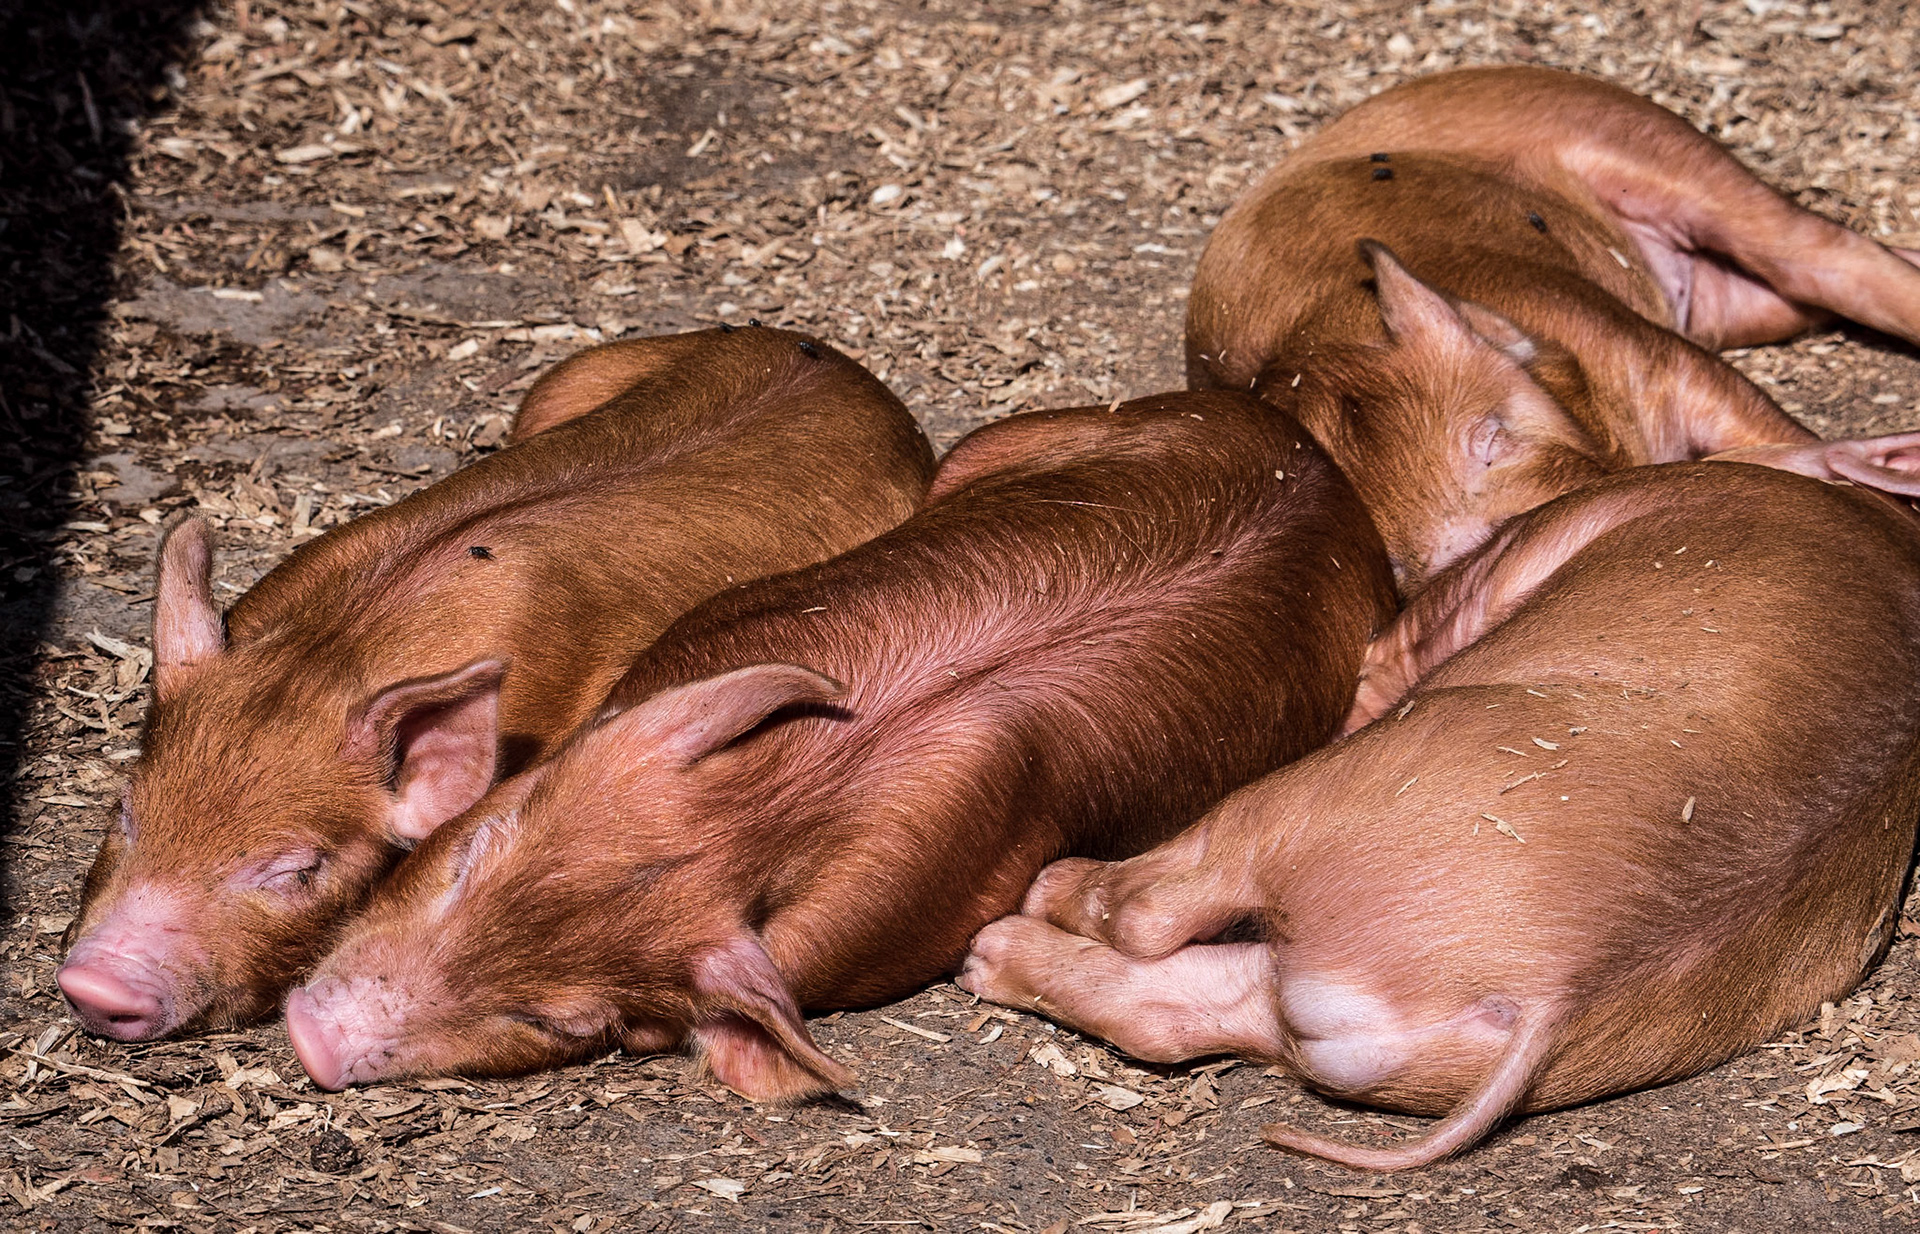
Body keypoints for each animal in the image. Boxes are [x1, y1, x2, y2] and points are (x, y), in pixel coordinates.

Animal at [279, 391, 1398, 1094]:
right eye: (470, 852)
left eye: (561, 1025)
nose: (313, 1038)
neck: (784, 796)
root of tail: (1325, 473)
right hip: (1020, 440)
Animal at [958, 456, 1920, 1170]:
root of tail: (1556, 987)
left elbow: (1386, 658)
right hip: (1338, 1015)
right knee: (1175, 1010)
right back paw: (988, 958)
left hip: (1317, 805)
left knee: (1153, 914)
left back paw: (1034, 899)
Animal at [1187, 65, 1920, 592]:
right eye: (1387, 553)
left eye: (1490, 436)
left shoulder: (1643, 348)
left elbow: (1757, 420)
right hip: (1735, 302)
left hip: (1636, 135)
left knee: (1829, 254)